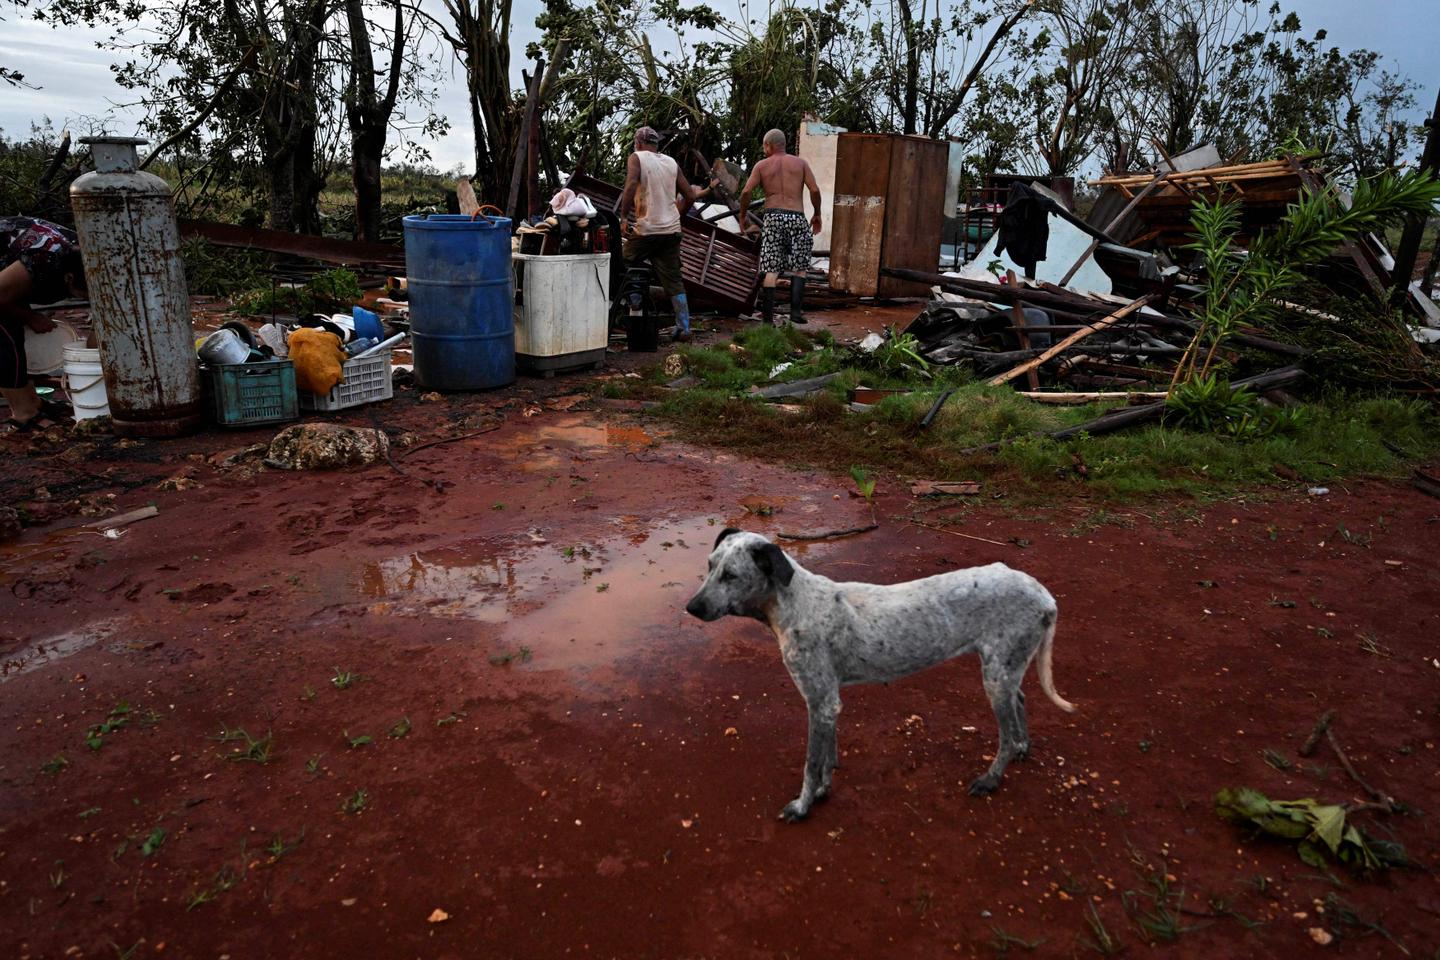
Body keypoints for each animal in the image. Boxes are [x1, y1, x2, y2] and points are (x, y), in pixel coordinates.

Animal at [682, 529, 1071, 823]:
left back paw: (992, 778)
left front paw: (803, 806)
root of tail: (1045, 595)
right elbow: (827, 757)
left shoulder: (819, 702)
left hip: (995, 677)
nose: (691, 608)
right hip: (1004, 669)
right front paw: (823, 790)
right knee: (1020, 701)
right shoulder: (829, 704)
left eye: (731, 575)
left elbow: (811, 763)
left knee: (1005, 736)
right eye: (709, 566)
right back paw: (1023, 747)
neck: (792, 603)